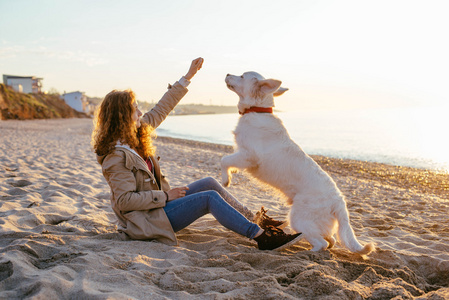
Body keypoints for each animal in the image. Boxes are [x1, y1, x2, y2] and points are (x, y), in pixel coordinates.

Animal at [221, 71, 374, 254]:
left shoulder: (249, 156)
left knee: (321, 243)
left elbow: (224, 160)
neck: (256, 111)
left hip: (298, 218)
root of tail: (339, 202)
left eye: (243, 76)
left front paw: (226, 179)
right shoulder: (243, 154)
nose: (227, 73)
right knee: (330, 239)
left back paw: (307, 252)